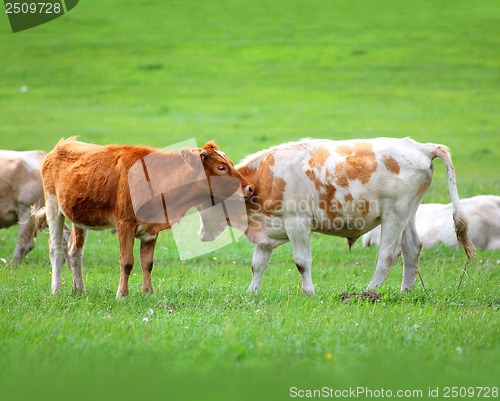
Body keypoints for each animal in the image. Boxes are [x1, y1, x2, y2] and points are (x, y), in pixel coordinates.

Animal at [200, 138, 476, 294]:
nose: (202, 235)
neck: (261, 179)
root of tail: (422, 147)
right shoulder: (266, 231)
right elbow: (258, 264)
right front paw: (252, 293)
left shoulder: (297, 222)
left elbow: (302, 261)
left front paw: (308, 292)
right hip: (409, 212)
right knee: (412, 248)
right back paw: (405, 291)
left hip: (394, 215)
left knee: (388, 254)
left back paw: (370, 291)